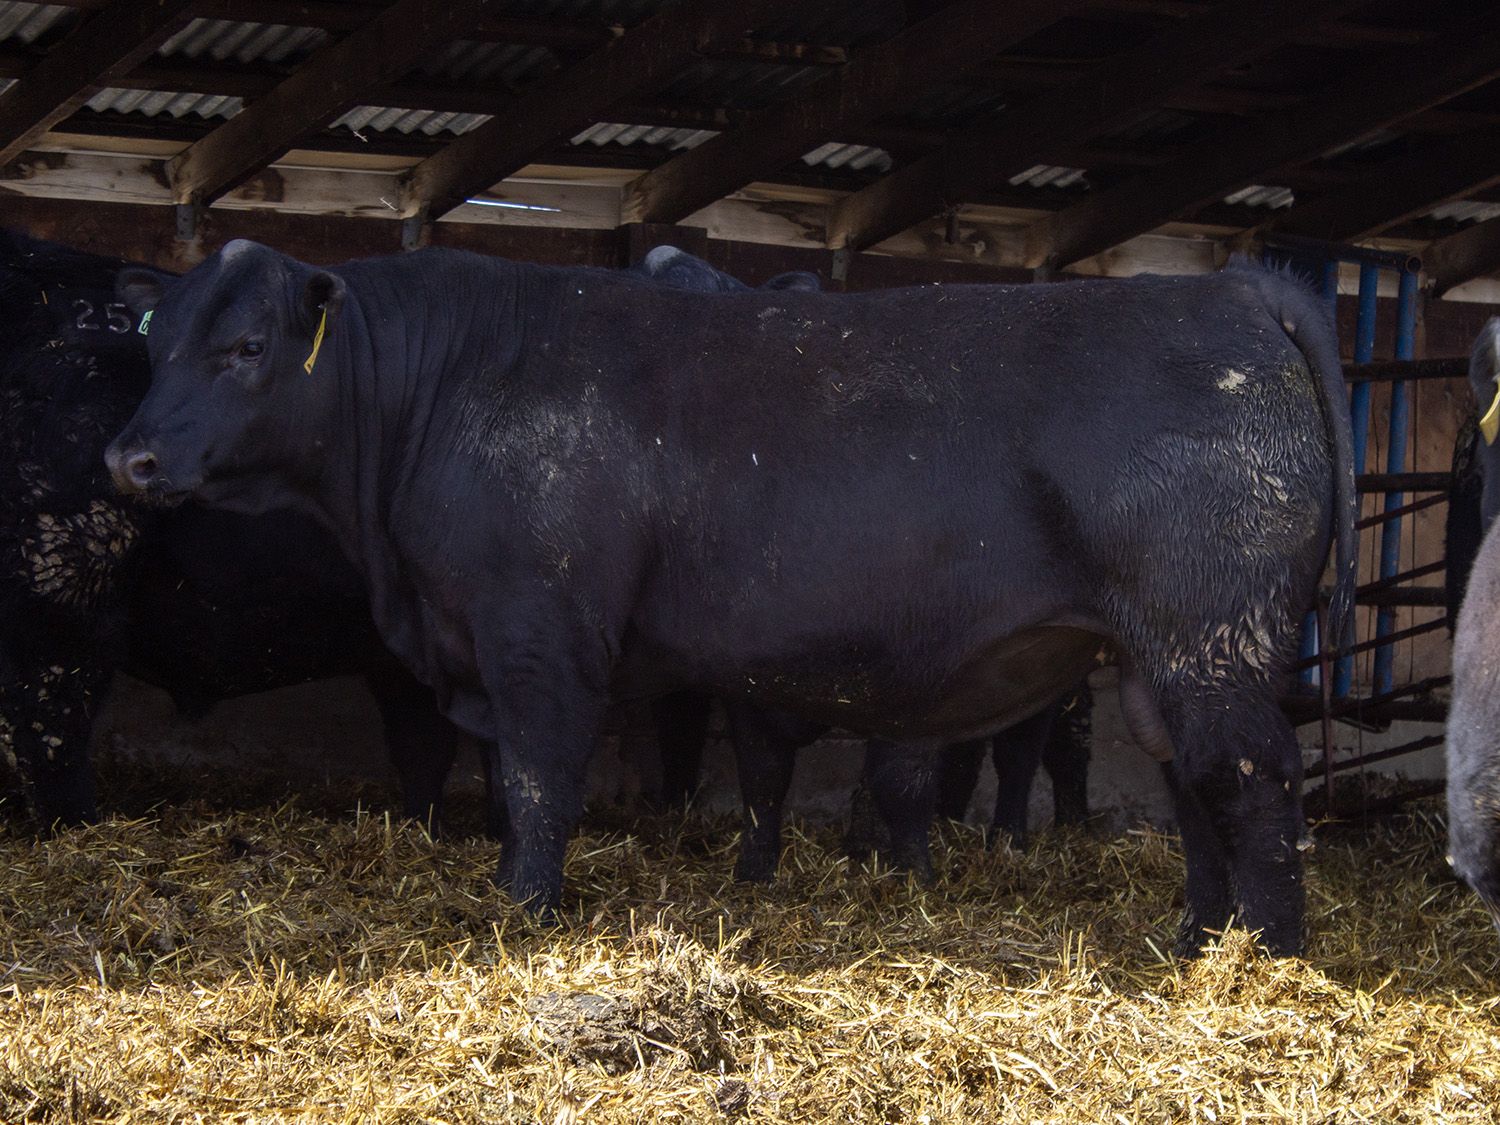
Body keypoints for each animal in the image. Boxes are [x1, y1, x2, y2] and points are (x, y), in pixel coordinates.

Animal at [106, 243, 1355, 956]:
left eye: (247, 345)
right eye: (153, 345)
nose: (128, 458)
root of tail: (1229, 288)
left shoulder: (539, 634)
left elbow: (537, 781)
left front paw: (524, 912)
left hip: (1213, 638)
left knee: (1255, 780)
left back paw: (1266, 960)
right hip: (1156, 659)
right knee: (1197, 786)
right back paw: (1197, 941)